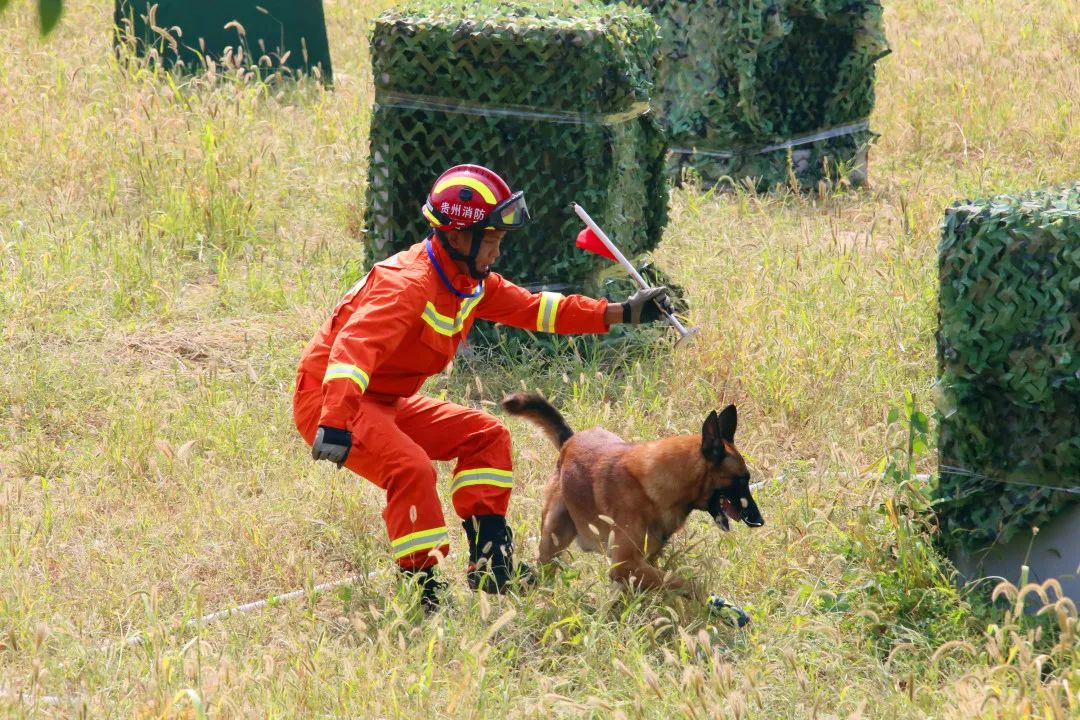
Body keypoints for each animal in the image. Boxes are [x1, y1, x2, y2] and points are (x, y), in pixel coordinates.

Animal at [501, 395, 764, 595]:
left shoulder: (644, 562)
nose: (759, 520)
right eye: (742, 479)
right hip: (553, 537)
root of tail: (571, 440)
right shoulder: (625, 564)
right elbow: (684, 583)